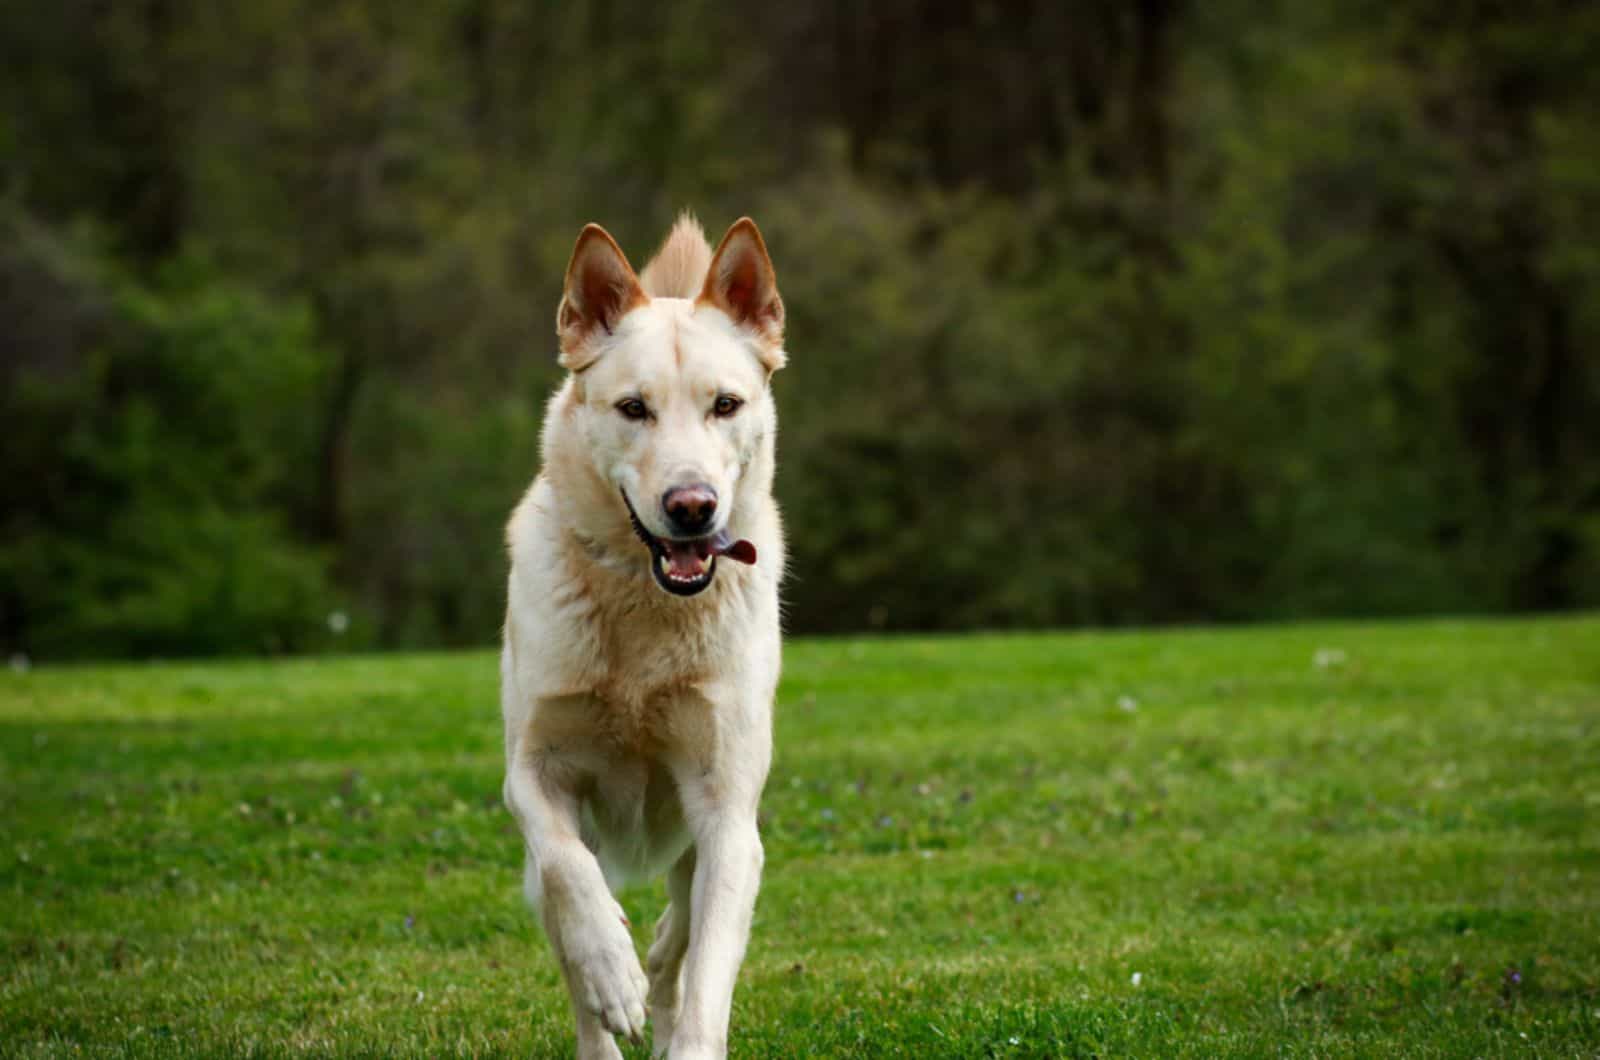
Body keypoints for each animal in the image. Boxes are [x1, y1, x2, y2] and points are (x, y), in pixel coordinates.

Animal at [499, 211, 787, 1056]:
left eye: (726, 404)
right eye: (633, 408)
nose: (692, 505)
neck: (644, 611)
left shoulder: (728, 815)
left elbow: (707, 974)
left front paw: (678, 1025)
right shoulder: (532, 774)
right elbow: (571, 875)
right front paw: (610, 972)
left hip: (716, 842)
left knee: (680, 939)